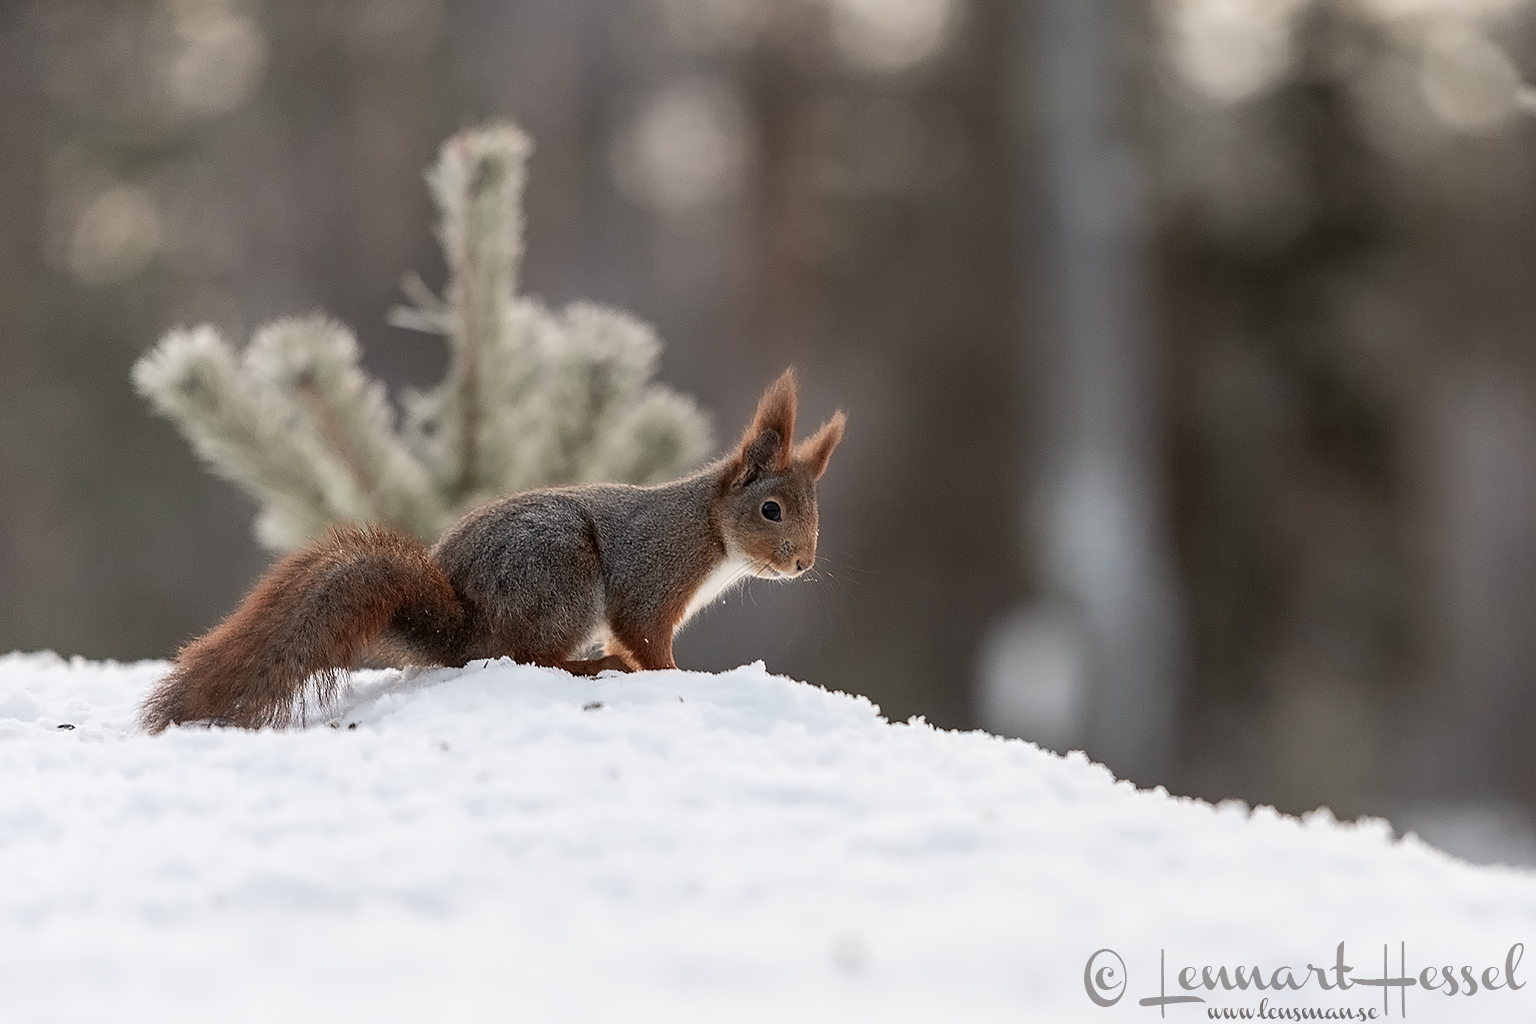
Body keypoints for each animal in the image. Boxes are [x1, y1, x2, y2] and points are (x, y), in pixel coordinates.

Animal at [139, 368, 845, 733]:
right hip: (559, 577)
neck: (708, 530)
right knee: (530, 656)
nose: (802, 562)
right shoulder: (653, 574)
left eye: (814, 511)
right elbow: (643, 635)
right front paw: (672, 676)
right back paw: (589, 667)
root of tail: (465, 627)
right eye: (772, 509)